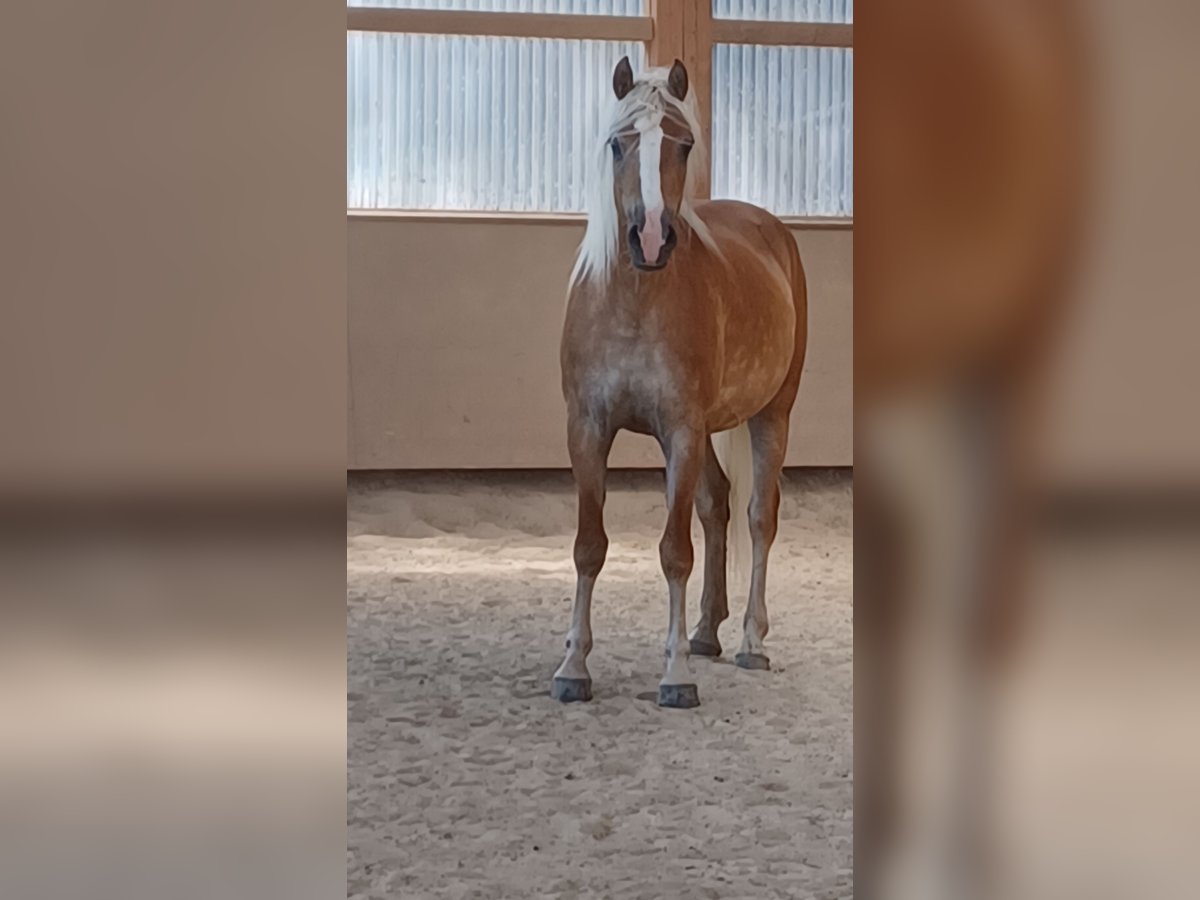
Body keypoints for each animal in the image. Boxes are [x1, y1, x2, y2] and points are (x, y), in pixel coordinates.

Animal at [549, 58, 806, 710]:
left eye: (683, 145)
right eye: (619, 144)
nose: (649, 238)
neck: (634, 303)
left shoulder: (682, 431)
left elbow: (673, 553)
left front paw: (675, 675)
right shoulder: (587, 430)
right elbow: (589, 545)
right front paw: (573, 667)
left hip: (772, 415)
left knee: (758, 516)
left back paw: (749, 641)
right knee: (716, 506)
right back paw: (706, 631)